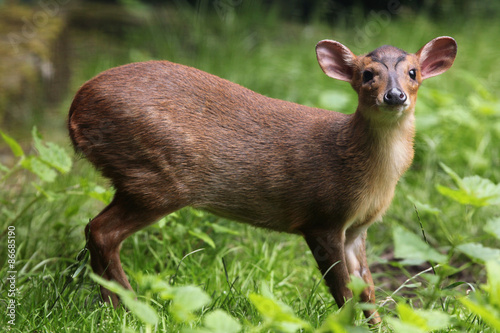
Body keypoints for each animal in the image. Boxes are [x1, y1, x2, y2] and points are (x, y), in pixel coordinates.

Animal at [67, 37, 458, 324]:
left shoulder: (358, 229)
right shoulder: (321, 217)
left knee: (94, 229)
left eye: (413, 72)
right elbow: (343, 292)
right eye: (366, 74)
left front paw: (379, 325)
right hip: (157, 177)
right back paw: (127, 309)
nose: (394, 95)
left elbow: (368, 290)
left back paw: (114, 306)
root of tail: (76, 107)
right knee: (101, 231)